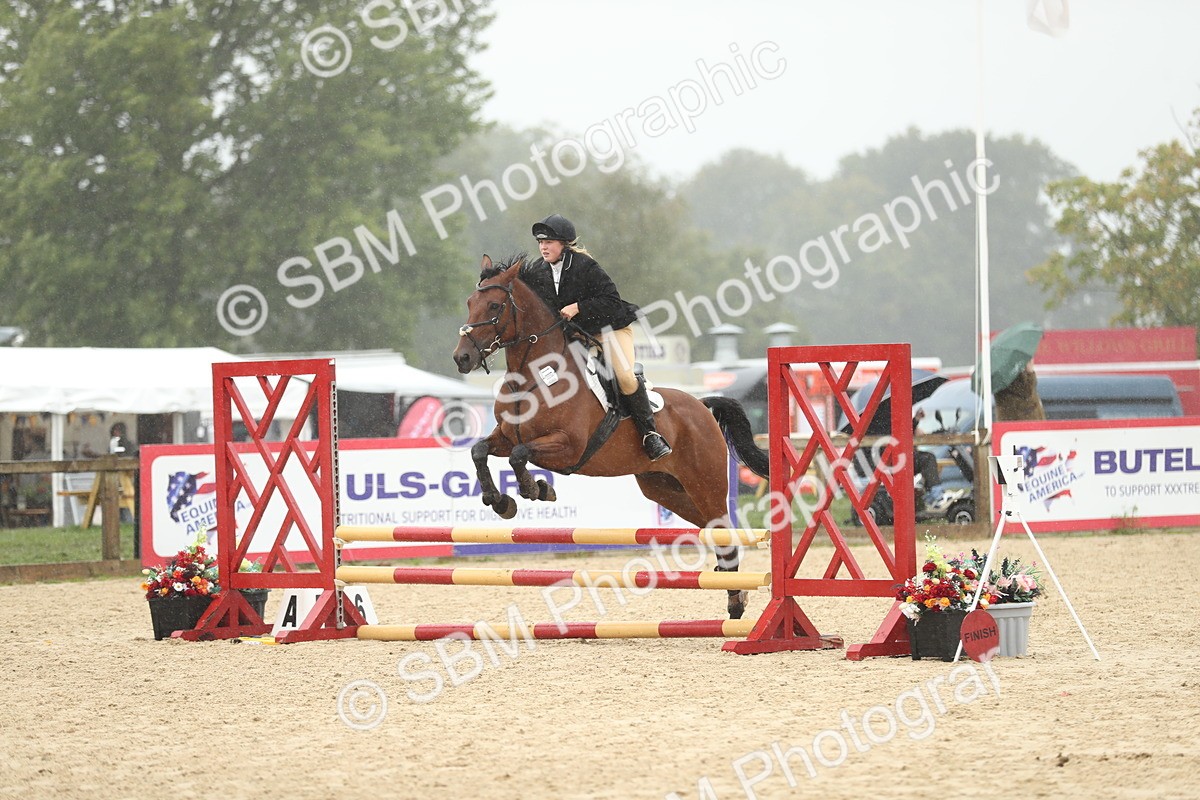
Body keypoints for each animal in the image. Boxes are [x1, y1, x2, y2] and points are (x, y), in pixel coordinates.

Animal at [451, 254, 770, 619]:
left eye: (494, 305)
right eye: (469, 303)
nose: (462, 358)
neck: (533, 377)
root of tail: (703, 407)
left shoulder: (568, 447)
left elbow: (521, 455)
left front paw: (537, 489)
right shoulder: (504, 437)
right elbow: (479, 451)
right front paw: (500, 501)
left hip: (706, 483)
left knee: (724, 531)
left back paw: (736, 602)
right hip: (665, 488)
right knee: (716, 532)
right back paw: (735, 596)